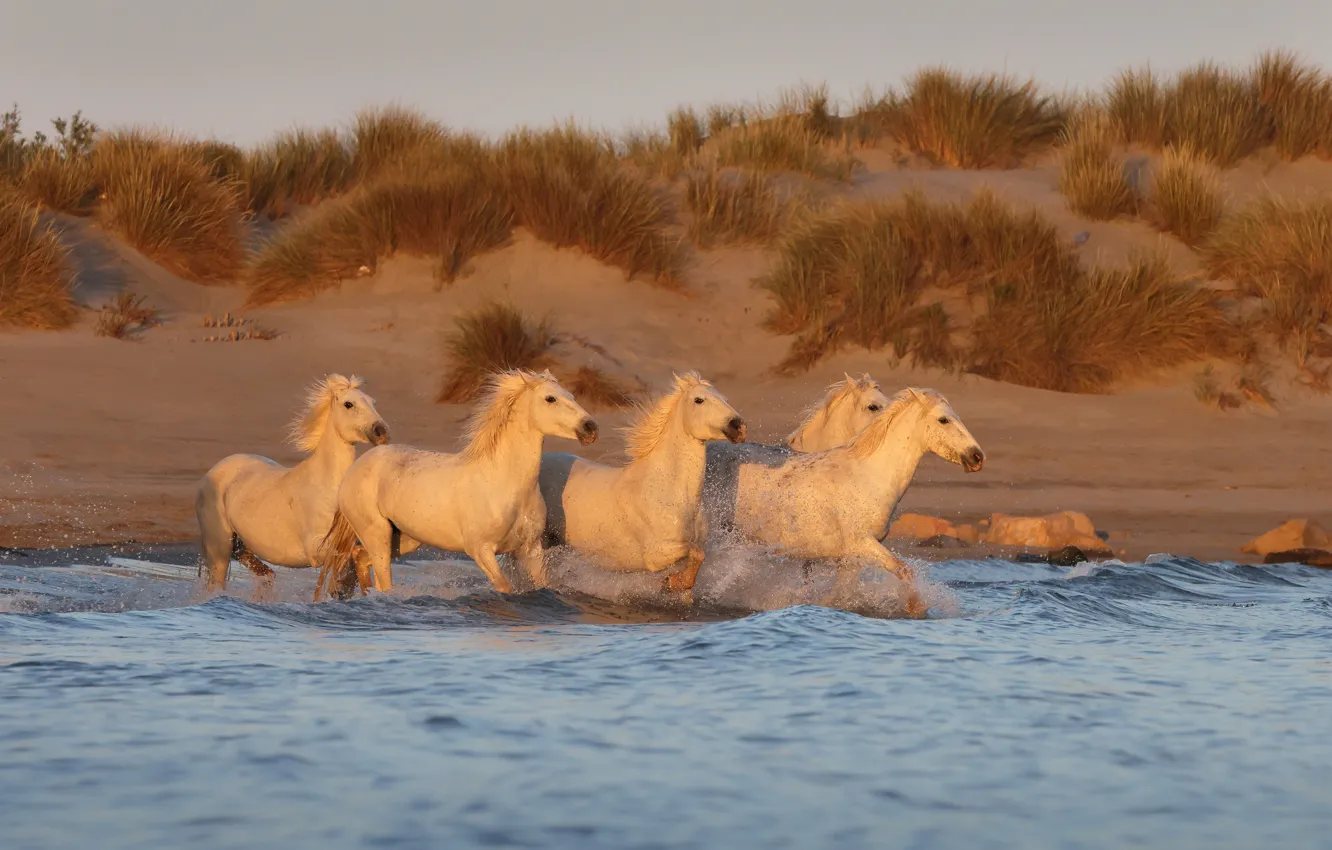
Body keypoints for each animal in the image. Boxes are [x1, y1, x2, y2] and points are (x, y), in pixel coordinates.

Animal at [195, 373, 390, 600]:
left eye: (373, 402)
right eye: (348, 404)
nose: (381, 432)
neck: (327, 486)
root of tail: (212, 472)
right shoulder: (314, 550)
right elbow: (347, 556)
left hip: (241, 545)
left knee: (265, 572)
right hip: (219, 549)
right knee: (216, 584)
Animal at [316, 369, 597, 595]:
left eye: (571, 396)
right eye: (550, 399)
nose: (590, 428)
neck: (506, 484)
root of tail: (354, 469)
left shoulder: (531, 549)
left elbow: (541, 585)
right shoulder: (480, 550)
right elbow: (504, 587)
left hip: (406, 539)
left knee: (360, 557)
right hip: (377, 535)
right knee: (383, 581)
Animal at [538, 371, 746, 597]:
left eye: (725, 399)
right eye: (699, 400)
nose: (738, 427)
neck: (672, 496)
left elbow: (696, 564)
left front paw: (674, 582)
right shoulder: (656, 555)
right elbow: (697, 553)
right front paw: (672, 582)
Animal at [723, 387, 984, 618]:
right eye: (944, 420)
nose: (977, 457)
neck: (869, 476)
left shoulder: (850, 558)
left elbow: (838, 595)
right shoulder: (863, 543)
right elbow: (904, 569)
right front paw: (915, 610)